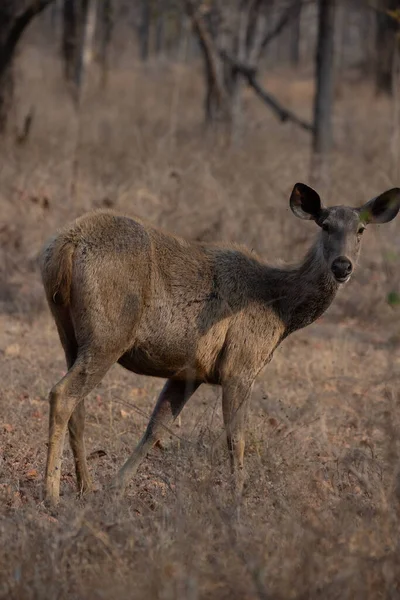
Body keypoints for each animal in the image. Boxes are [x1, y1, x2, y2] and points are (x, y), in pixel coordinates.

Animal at [38, 184, 400, 506]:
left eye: (361, 229)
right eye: (325, 225)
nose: (342, 266)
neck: (281, 309)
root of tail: (65, 246)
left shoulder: (188, 372)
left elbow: (155, 429)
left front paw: (116, 490)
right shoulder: (241, 364)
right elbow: (235, 437)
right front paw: (238, 499)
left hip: (68, 333)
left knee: (78, 405)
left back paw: (86, 488)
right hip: (109, 333)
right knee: (63, 394)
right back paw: (51, 494)